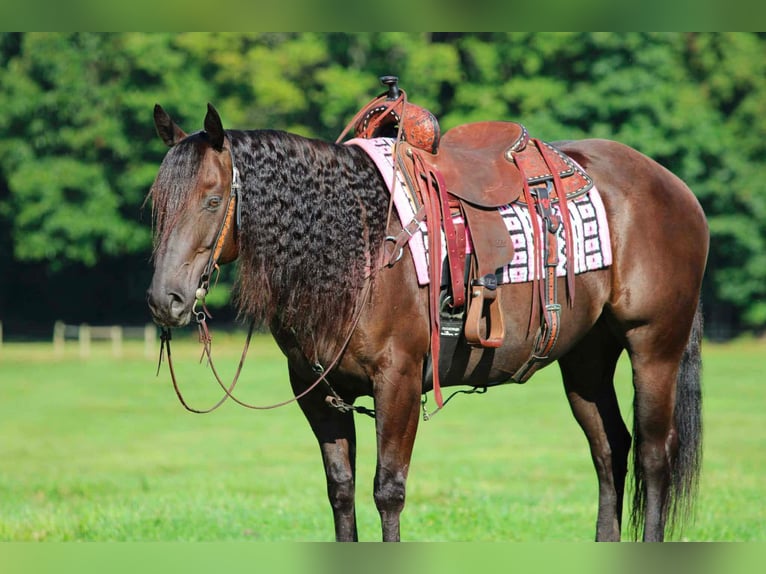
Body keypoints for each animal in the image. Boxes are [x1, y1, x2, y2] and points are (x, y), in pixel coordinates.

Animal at [146, 101, 708, 542]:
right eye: (158, 206)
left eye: (212, 200)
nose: (164, 300)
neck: (361, 245)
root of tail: (673, 186)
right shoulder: (317, 391)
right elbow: (341, 490)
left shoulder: (397, 381)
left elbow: (388, 490)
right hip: (586, 360)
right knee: (610, 450)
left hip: (654, 348)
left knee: (654, 455)